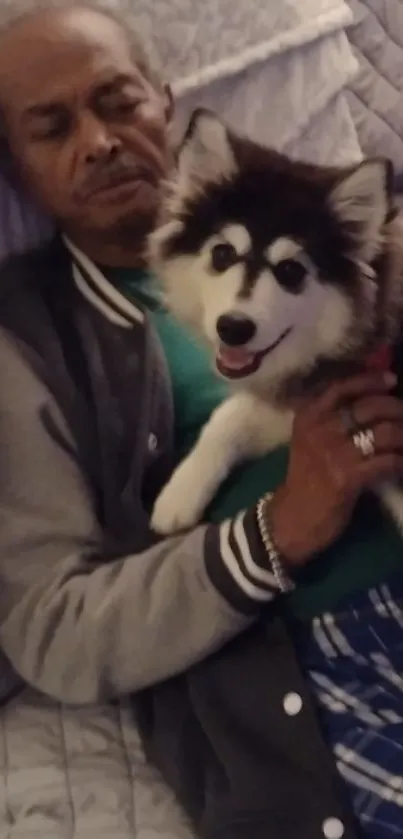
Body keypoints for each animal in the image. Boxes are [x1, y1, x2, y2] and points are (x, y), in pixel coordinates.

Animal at [150, 108, 403, 536]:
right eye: (222, 254)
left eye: (290, 270)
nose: (233, 328)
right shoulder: (304, 405)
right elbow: (230, 415)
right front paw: (181, 491)